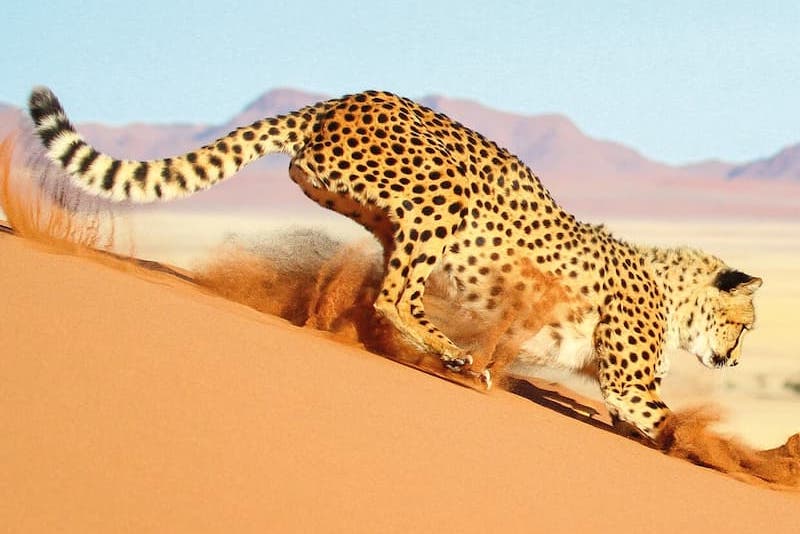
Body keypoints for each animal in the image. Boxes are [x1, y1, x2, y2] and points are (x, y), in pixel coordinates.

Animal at [27, 86, 762, 445]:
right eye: (747, 324)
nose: (732, 361)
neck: (671, 285)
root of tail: (342, 98)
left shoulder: (616, 384)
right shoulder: (627, 382)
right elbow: (663, 417)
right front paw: (734, 459)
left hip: (373, 209)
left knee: (390, 281)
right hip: (447, 191)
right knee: (395, 293)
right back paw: (457, 356)